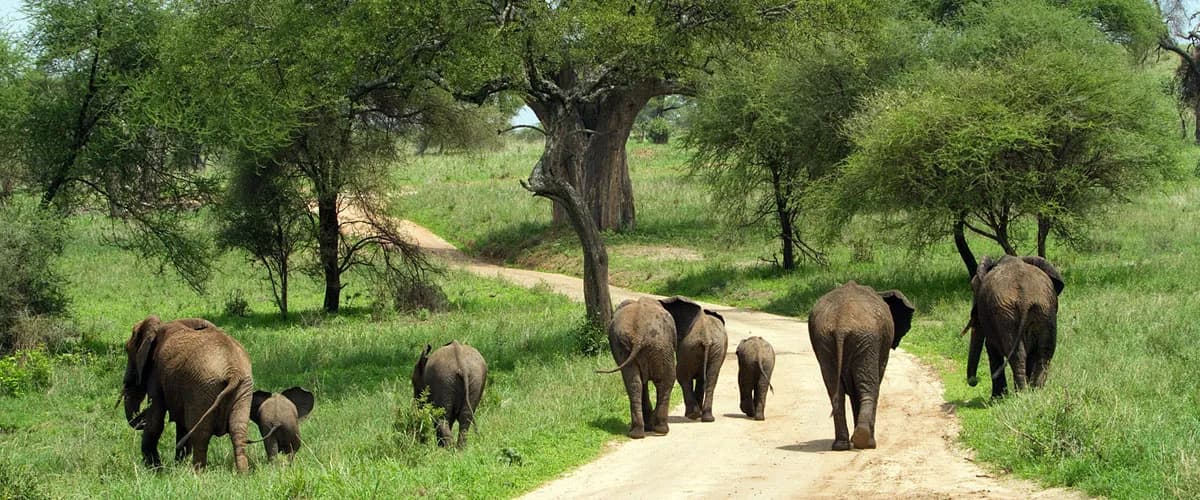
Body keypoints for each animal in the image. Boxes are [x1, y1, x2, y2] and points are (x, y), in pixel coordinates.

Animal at [121, 316, 254, 471]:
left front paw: (155, 470)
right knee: (238, 431)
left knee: (200, 435)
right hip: (243, 389)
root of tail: (233, 371)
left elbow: (155, 421)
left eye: (127, 349)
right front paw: (175, 467)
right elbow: (180, 425)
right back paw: (242, 473)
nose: (141, 416)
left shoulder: (156, 374)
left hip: (202, 387)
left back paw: (197, 473)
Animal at [597, 296, 700, 438]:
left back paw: (637, 433)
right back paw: (661, 430)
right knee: (666, 381)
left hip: (624, 346)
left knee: (634, 383)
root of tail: (639, 335)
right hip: (660, 345)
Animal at [808, 282, 914, 451]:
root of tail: (842, 325)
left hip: (826, 340)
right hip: (866, 338)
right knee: (869, 387)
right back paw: (868, 443)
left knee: (835, 391)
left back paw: (842, 445)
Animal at [964, 255, 1064, 399]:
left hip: (1008, 315)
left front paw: (996, 399)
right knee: (1044, 353)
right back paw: (1034, 393)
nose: (974, 381)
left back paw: (1022, 395)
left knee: (1018, 355)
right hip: (1044, 311)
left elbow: (991, 348)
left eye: (973, 288)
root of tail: (1025, 299)